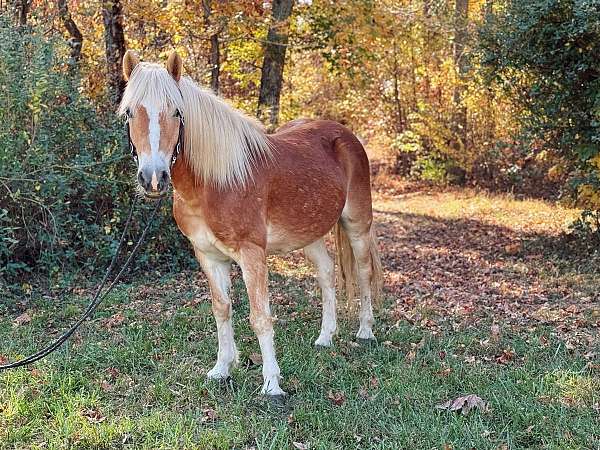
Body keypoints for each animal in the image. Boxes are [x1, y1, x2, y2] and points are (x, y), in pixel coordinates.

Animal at [119, 49, 382, 394]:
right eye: (129, 113)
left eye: (176, 112)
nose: (153, 179)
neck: (215, 183)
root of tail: (345, 135)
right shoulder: (208, 256)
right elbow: (221, 310)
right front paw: (222, 369)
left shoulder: (252, 253)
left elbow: (260, 317)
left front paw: (272, 385)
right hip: (309, 232)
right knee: (327, 273)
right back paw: (325, 337)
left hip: (357, 223)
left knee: (364, 272)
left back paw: (366, 332)